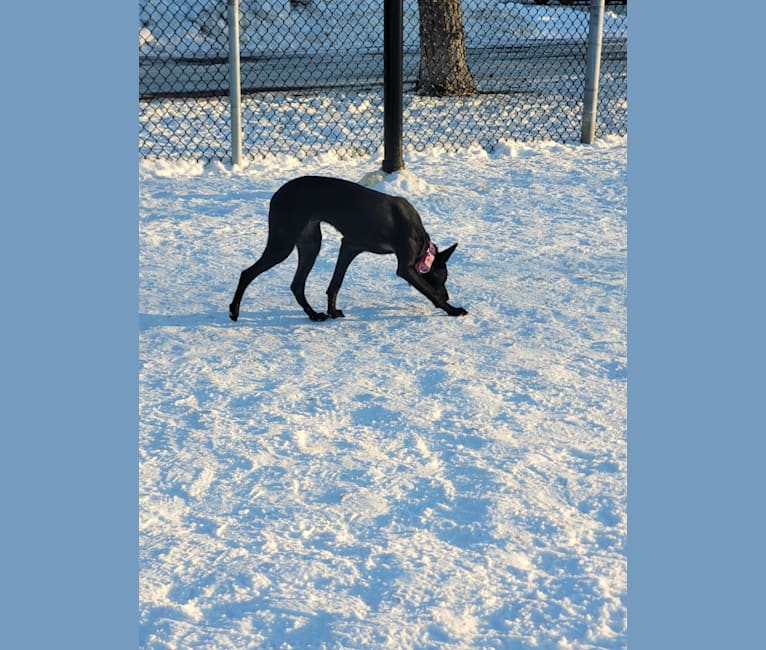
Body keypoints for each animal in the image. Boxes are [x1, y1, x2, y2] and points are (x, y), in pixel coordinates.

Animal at [228, 176, 468, 320]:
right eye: (442, 279)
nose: (448, 296)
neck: (421, 244)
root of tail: (277, 194)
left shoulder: (350, 246)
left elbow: (335, 283)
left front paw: (332, 310)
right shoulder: (405, 268)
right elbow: (430, 292)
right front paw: (453, 309)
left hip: (310, 243)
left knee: (296, 285)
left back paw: (314, 314)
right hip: (282, 243)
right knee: (247, 273)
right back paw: (234, 310)